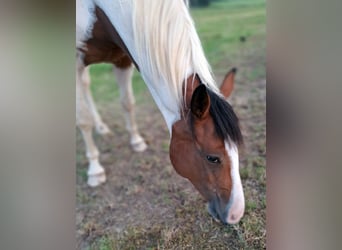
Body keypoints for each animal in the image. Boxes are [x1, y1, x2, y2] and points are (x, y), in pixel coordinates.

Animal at [76, 0, 244, 225]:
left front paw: (136, 141)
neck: (99, 9)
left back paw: (101, 127)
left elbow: (127, 103)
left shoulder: (122, 59)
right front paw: (95, 170)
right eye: (212, 158)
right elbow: (83, 120)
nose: (236, 214)